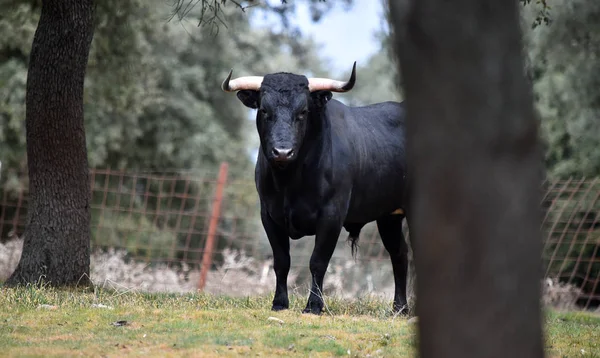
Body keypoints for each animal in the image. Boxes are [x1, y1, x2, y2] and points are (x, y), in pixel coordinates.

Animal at [221, 63, 412, 314]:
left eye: (303, 112)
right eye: (264, 110)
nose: (282, 152)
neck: (290, 182)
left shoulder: (331, 215)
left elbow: (317, 262)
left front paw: (313, 306)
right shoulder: (269, 215)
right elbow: (281, 261)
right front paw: (279, 303)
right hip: (389, 217)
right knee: (399, 254)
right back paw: (399, 308)